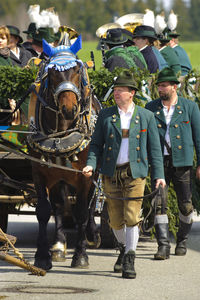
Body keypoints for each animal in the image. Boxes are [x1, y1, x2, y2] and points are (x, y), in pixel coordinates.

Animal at [26, 36, 101, 270]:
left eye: (77, 70)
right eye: (52, 73)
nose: (69, 109)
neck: (63, 130)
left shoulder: (84, 175)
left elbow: (82, 212)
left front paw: (81, 255)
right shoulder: (39, 171)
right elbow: (44, 210)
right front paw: (43, 256)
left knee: (92, 202)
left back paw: (92, 235)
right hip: (58, 176)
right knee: (59, 206)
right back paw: (58, 246)